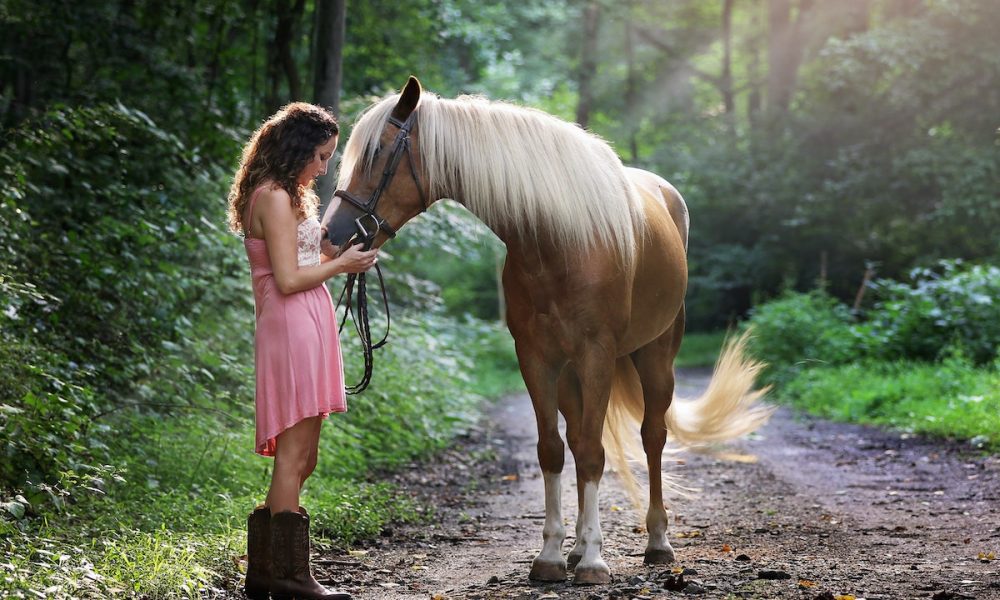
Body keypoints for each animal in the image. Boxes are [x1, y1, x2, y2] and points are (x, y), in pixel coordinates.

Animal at [324, 77, 768, 584]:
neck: (558, 241)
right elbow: (553, 450)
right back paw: (576, 548)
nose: (331, 235)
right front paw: (554, 556)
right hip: (573, 372)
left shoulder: (596, 355)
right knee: (576, 438)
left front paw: (595, 562)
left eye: (377, 153)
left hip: (656, 357)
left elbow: (594, 452)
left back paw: (657, 542)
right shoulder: (536, 358)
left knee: (652, 436)